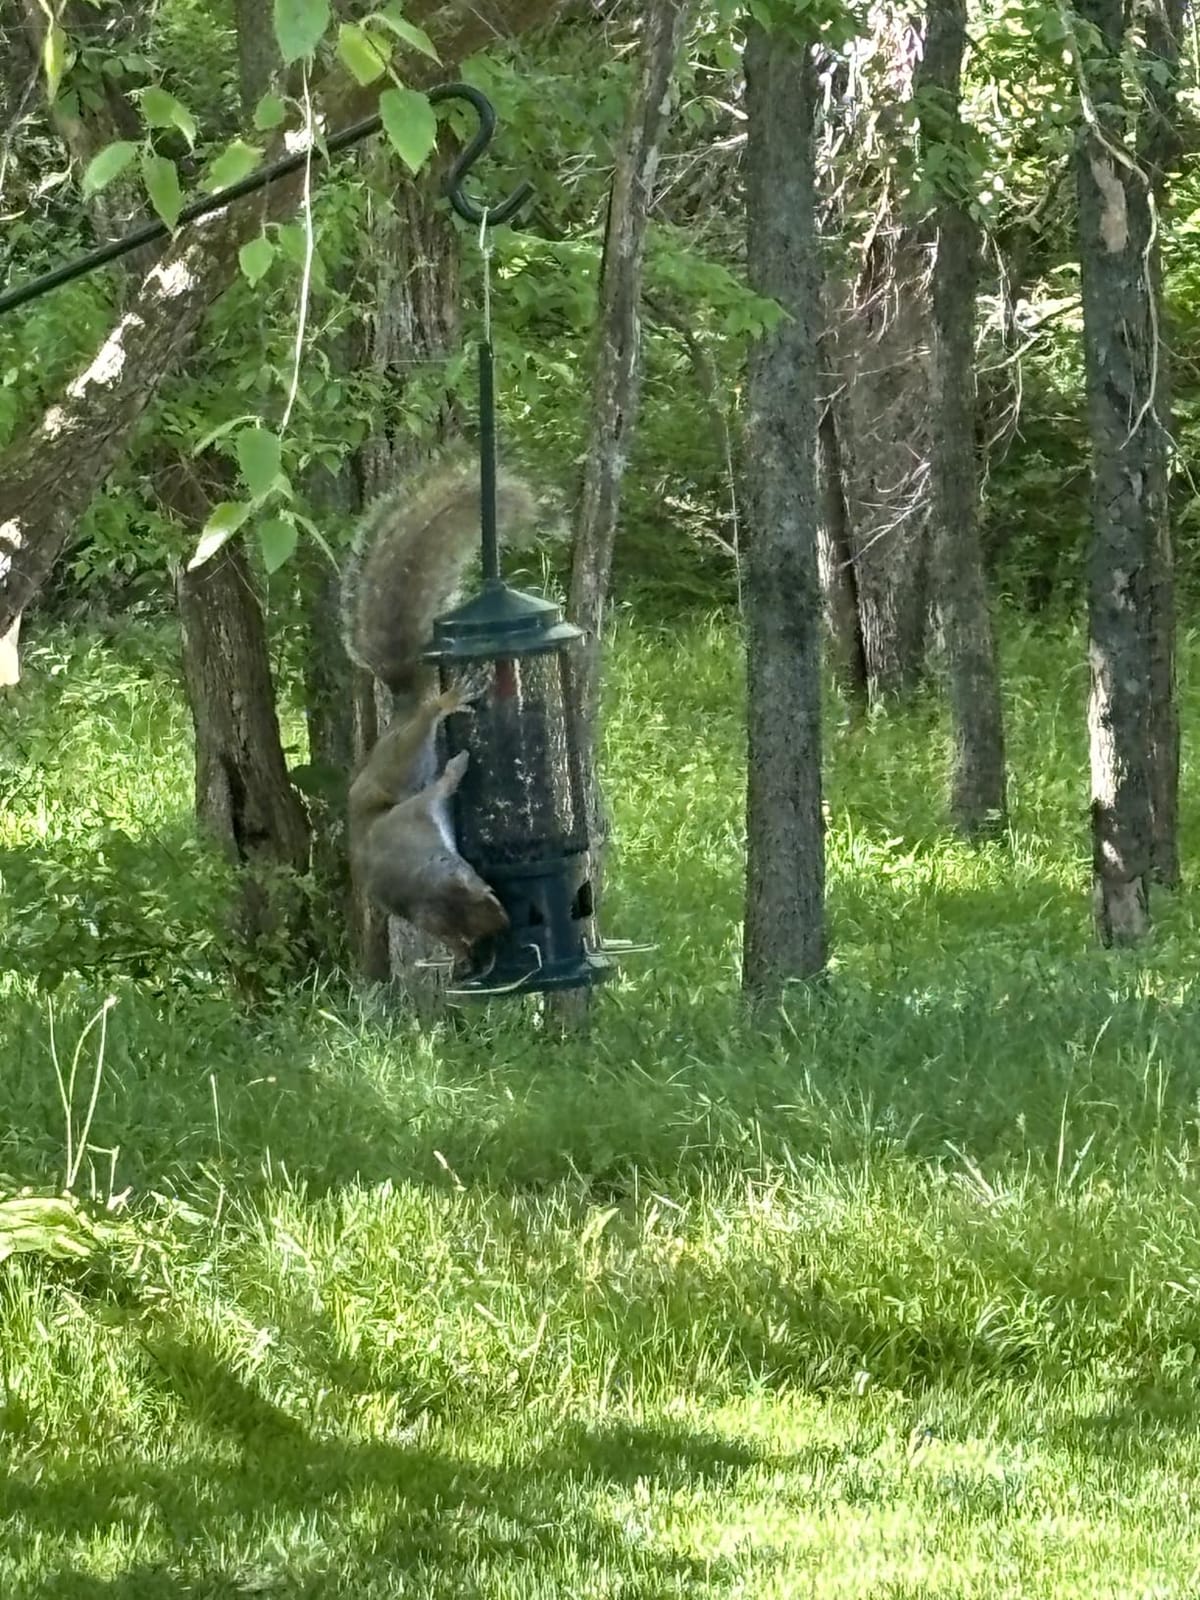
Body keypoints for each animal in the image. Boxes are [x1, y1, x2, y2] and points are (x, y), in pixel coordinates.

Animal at [342, 450, 540, 960]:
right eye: (482, 897)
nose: (506, 923)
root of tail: (398, 719)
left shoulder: (418, 816)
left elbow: (439, 791)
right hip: (404, 762)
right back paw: (447, 701)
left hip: (402, 762)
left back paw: (448, 703)